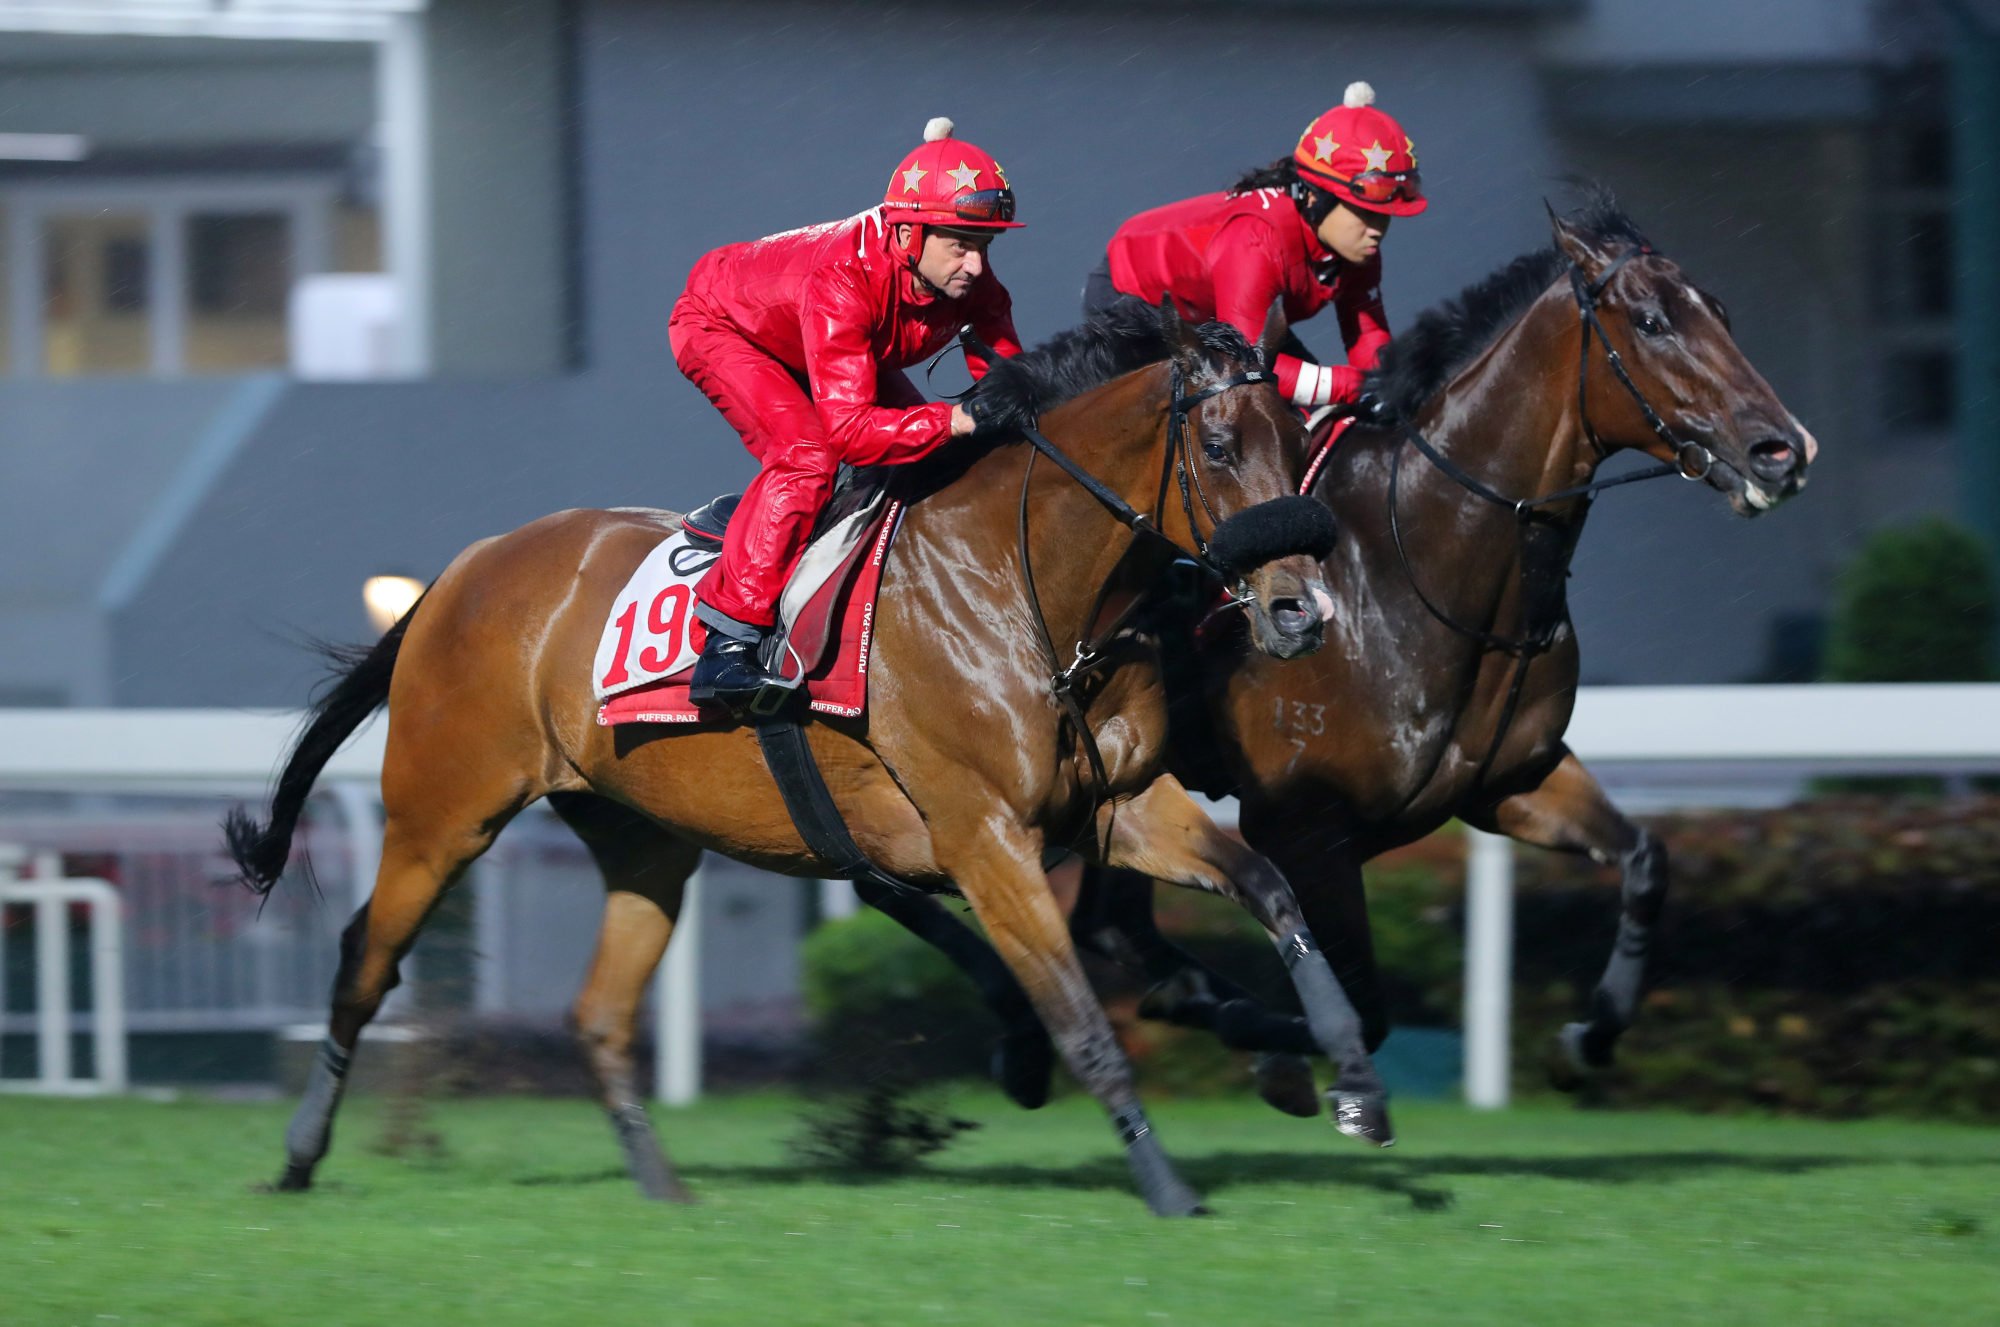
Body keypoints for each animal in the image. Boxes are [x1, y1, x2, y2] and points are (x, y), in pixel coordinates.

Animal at [230, 297, 1392, 1215]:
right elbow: (1075, 1012)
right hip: (442, 811)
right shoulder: (984, 836)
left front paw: (1351, 1079)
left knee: (596, 1013)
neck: (1025, 587)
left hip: (642, 839)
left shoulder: (1122, 802)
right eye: (1217, 446)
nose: (1299, 610)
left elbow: (1272, 889)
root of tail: (460, 570)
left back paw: (662, 1185)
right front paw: (1164, 1184)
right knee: (362, 963)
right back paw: (296, 1156)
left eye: (1296, 436)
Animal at [876, 196, 1816, 1111]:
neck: (1423, 558)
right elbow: (1363, 1006)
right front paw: (1293, 1063)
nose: (1783, 450)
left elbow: (1646, 860)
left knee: (1105, 920)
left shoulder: (1513, 781)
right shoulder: (1304, 826)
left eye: (1721, 312)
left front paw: (1585, 1040)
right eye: (1652, 322)